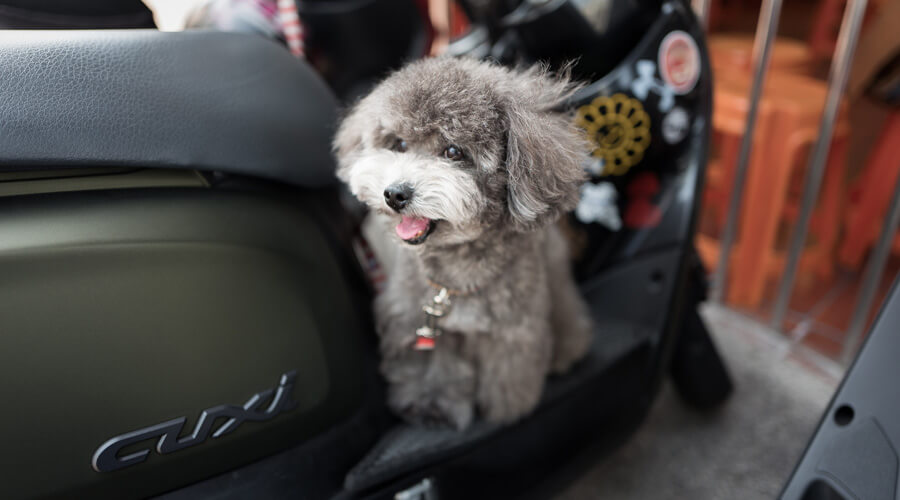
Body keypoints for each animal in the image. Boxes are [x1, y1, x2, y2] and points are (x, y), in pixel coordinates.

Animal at [334, 55, 596, 430]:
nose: (395, 194)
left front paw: (506, 410)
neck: (454, 278)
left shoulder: (513, 330)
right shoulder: (419, 322)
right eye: (399, 144)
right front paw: (430, 406)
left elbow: (507, 374)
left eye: (453, 151)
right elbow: (434, 369)